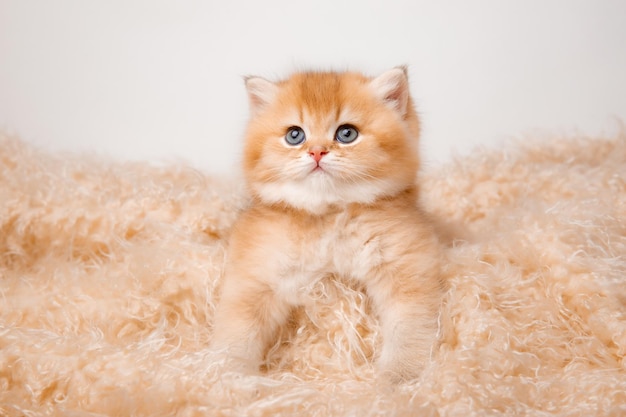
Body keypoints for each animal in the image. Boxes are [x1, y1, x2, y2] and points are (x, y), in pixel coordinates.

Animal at [211, 66, 444, 380]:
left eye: (346, 133)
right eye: (294, 135)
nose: (317, 152)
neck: (328, 215)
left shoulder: (408, 270)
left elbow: (409, 329)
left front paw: (398, 377)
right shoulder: (254, 277)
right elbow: (237, 333)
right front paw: (228, 377)